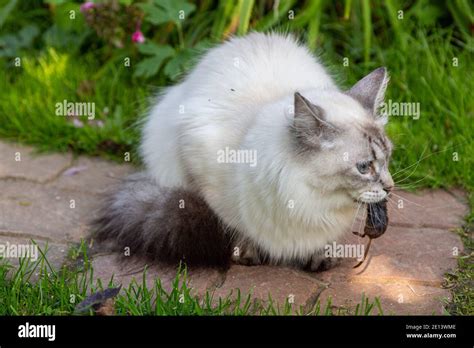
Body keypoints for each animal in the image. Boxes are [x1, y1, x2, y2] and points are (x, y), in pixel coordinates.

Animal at [91, 32, 392, 272]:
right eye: (364, 167)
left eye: (387, 158)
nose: (390, 187)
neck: (309, 199)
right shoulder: (203, 175)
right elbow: (236, 225)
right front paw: (247, 252)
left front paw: (319, 256)